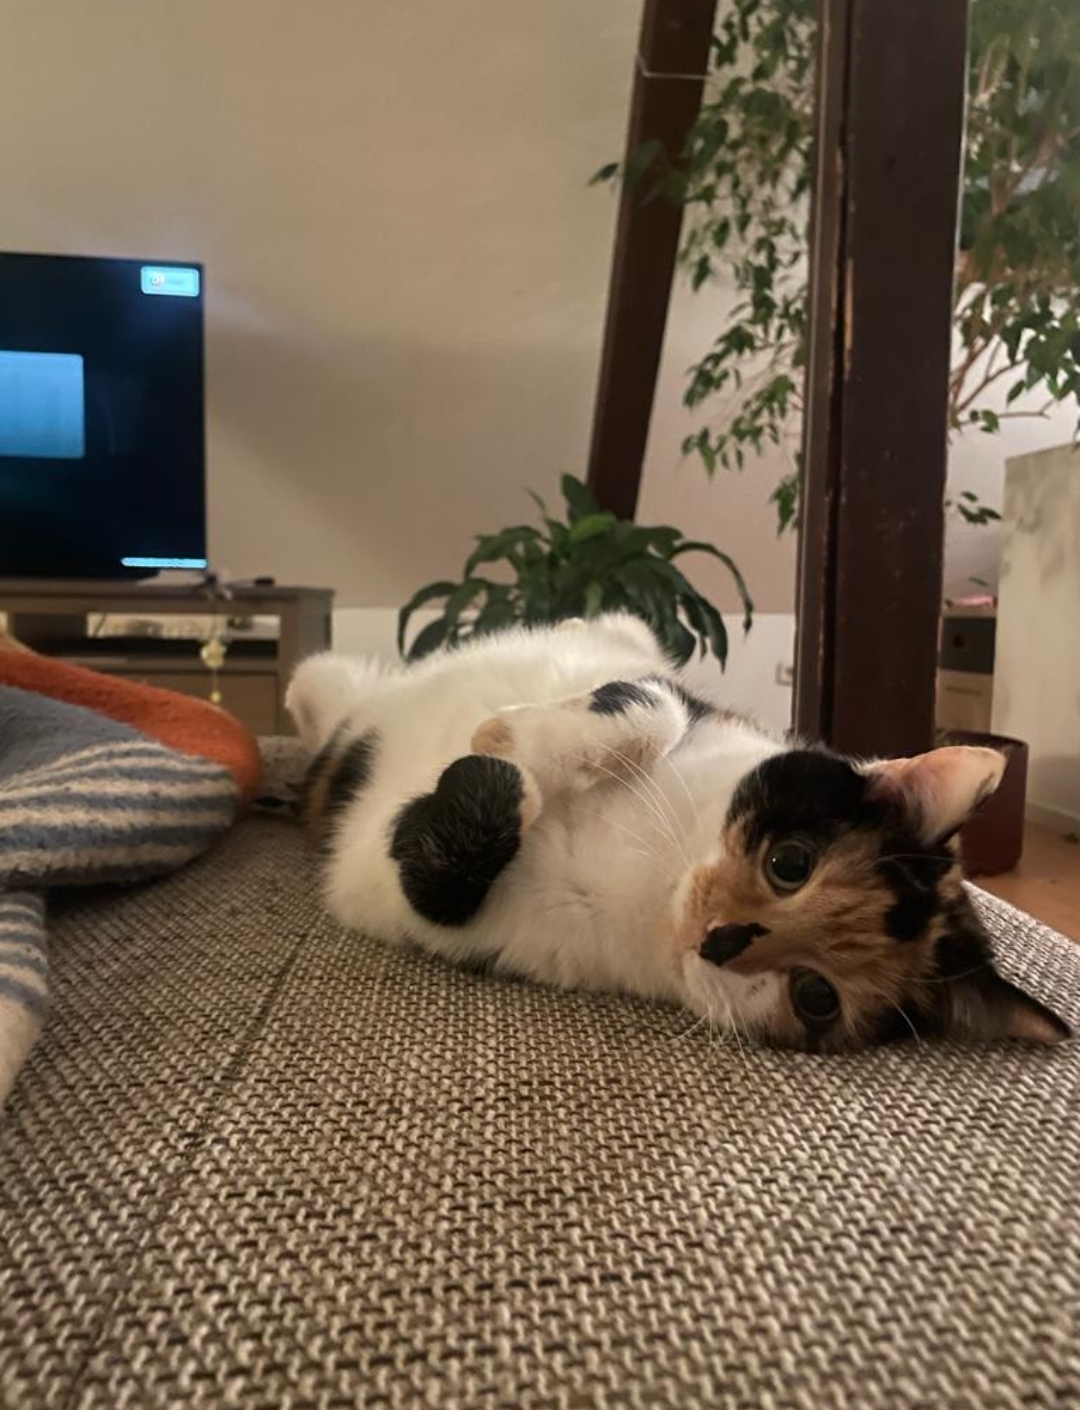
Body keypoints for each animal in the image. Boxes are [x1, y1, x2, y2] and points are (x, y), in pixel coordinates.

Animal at [286, 612, 1069, 1052]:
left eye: (817, 996)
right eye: (792, 862)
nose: (719, 939)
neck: (656, 871)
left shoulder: (461, 920)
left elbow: (435, 876)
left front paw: (496, 769)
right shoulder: (684, 703)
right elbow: (651, 702)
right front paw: (508, 736)